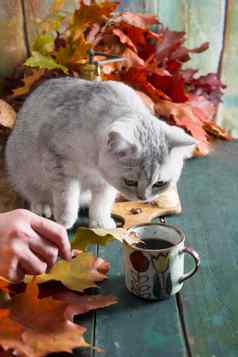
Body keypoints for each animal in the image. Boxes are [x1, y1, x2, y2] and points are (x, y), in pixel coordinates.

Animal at [5, 77, 196, 228]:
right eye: (131, 182)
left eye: (159, 184)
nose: (142, 198)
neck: (94, 164)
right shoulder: (59, 164)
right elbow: (67, 198)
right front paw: (65, 221)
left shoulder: (106, 182)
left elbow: (102, 203)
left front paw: (100, 223)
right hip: (25, 172)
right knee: (36, 194)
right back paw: (44, 207)